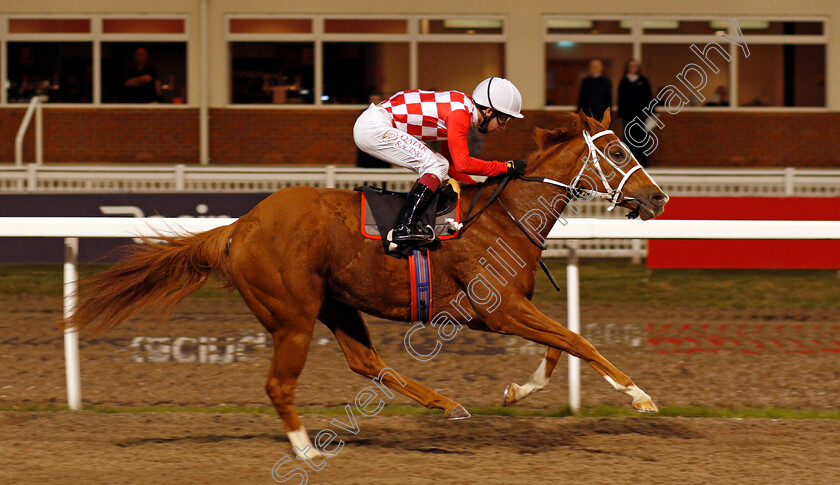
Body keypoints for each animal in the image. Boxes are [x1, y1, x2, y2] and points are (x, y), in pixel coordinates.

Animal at [62, 108, 668, 458]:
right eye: (618, 151)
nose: (659, 197)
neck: (502, 216)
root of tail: (241, 226)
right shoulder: (497, 311)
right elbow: (577, 340)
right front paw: (639, 395)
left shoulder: (512, 309)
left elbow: (560, 348)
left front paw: (517, 391)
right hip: (293, 314)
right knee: (280, 384)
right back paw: (306, 450)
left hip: (336, 303)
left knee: (366, 362)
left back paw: (446, 404)